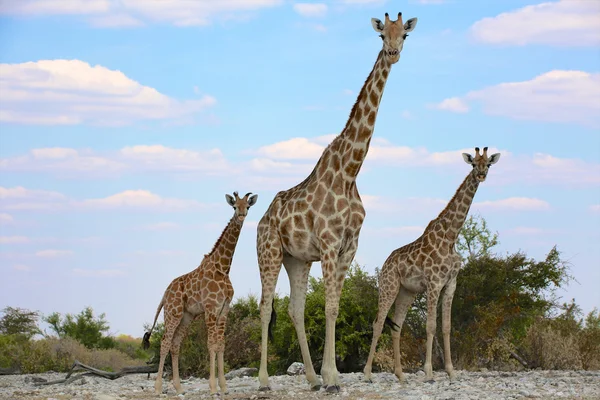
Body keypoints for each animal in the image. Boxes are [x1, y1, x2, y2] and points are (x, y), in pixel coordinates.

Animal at [145, 191, 260, 394]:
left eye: (247, 206)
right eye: (234, 206)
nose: (241, 216)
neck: (223, 268)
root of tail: (165, 293)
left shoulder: (224, 309)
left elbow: (221, 344)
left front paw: (224, 387)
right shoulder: (211, 307)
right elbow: (211, 344)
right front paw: (213, 387)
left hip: (186, 316)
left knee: (175, 344)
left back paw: (179, 388)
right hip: (173, 312)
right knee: (165, 342)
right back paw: (158, 388)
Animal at [364, 146, 500, 382]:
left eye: (489, 164)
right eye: (474, 164)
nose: (481, 175)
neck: (451, 237)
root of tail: (385, 264)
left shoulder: (451, 283)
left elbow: (446, 327)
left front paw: (451, 371)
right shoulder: (434, 282)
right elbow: (430, 326)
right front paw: (428, 371)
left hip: (406, 292)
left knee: (396, 326)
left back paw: (400, 374)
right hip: (389, 287)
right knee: (378, 322)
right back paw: (367, 373)